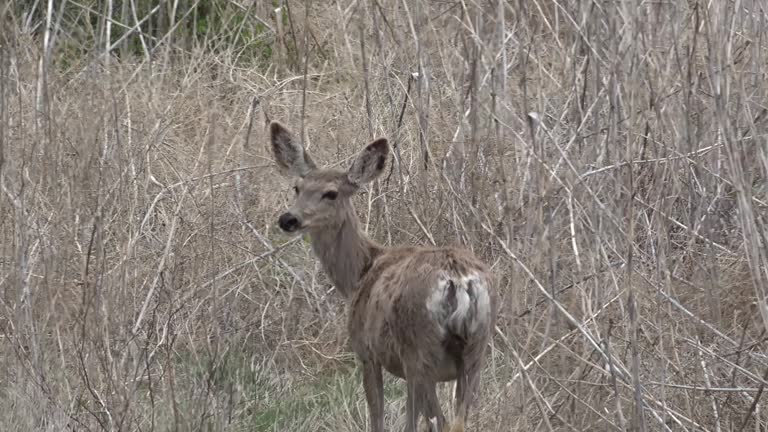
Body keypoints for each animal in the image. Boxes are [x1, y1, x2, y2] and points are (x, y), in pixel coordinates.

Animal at [268, 119, 498, 432]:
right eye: (297, 187)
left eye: (331, 193)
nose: (288, 219)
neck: (360, 273)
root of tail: (459, 280)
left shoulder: (366, 352)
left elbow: (379, 417)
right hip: (476, 350)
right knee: (458, 420)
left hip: (420, 350)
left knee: (441, 422)